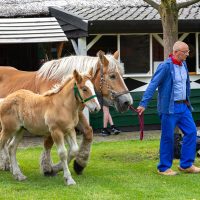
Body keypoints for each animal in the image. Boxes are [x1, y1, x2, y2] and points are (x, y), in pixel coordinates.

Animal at [0, 50, 133, 175]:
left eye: (122, 75)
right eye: (112, 76)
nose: (127, 102)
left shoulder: (74, 116)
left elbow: (87, 133)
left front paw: (79, 163)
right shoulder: (51, 123)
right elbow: (48, 143)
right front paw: (47, 167)